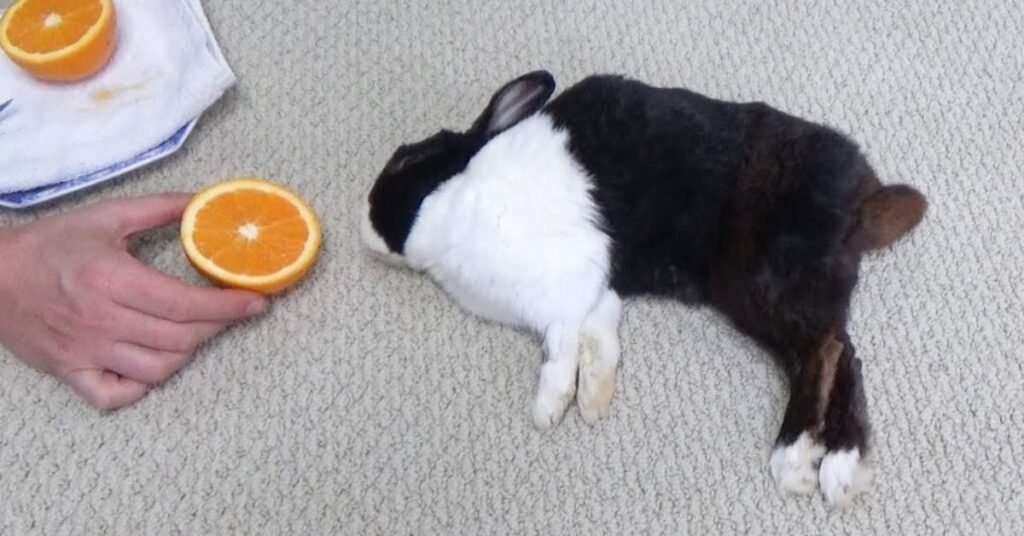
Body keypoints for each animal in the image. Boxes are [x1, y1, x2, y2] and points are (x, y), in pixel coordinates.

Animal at [360, 70, 926, 507]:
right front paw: (594, 399)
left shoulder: (565, 291)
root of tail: (866, 200)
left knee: (823, 351)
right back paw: (840, 470)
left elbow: (560, 351)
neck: (460, 197)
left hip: (762, 280)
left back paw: (795, 456)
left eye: (405, 163)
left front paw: (550, 409)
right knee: (843, 353)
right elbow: (599, 340)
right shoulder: (598, 295)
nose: (363, 231)